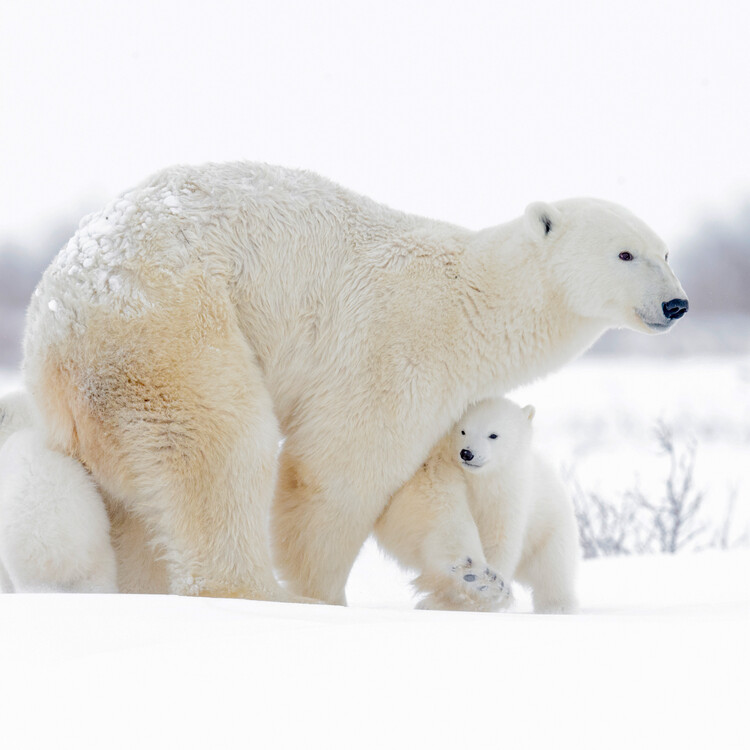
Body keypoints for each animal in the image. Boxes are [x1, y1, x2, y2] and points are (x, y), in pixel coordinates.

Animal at [376, 396, 580, 612]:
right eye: (463, 430)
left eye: (493, 435)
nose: (467, 453)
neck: (481, 481)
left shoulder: (508, 496)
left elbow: (499, 540)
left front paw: (488, 589)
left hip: (551, 529)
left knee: (553, 569)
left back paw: (557, 607)